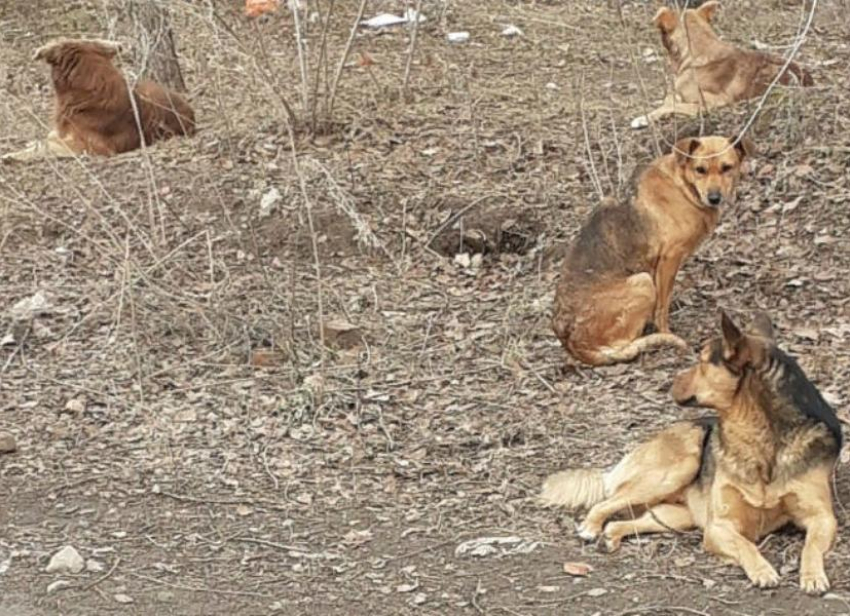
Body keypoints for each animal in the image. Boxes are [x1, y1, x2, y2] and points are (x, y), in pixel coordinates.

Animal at [548, 135, 748, 366]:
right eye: (700, 169)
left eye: (727, 168)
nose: (714, 198)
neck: (683, 185)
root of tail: (573, 344)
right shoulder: (669, 259)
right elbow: (662, 308)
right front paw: (666, 331)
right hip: (642, 282)